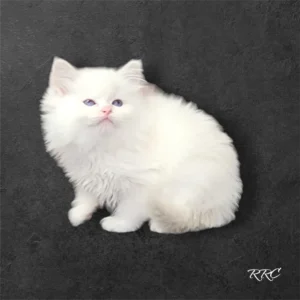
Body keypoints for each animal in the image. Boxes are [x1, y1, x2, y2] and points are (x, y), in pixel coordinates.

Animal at [39, 56, 243, 234]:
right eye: (89, 102)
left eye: (117, 103)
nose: (107, 110)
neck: (103, 144)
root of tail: (228, 200)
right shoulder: (84, 171)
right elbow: (85, 195)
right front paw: (79, 213)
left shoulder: (142, 184)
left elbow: (130, 210)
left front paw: (118, 224)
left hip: (189, 183)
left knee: (196, 219)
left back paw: (160, 225)